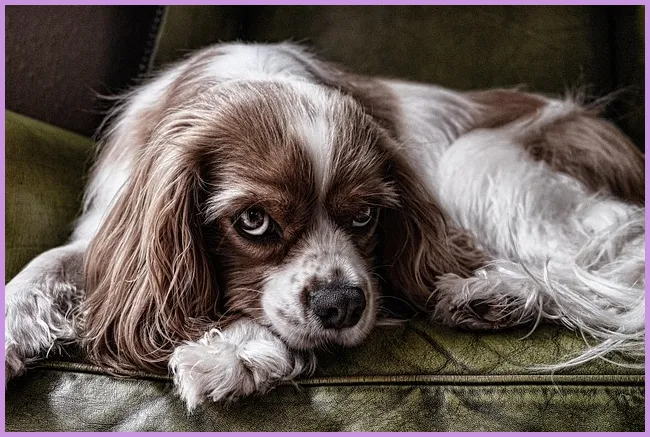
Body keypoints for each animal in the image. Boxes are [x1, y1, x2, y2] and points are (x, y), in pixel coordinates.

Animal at [5, 42, 645, 410]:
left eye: (364, 216)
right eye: (254, 221)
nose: (341, 304)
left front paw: (235, 352)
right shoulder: (113, 230)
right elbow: (47, 264)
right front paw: (12, 328)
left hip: (480, 161)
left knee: (591, 264)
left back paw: (493, 292)